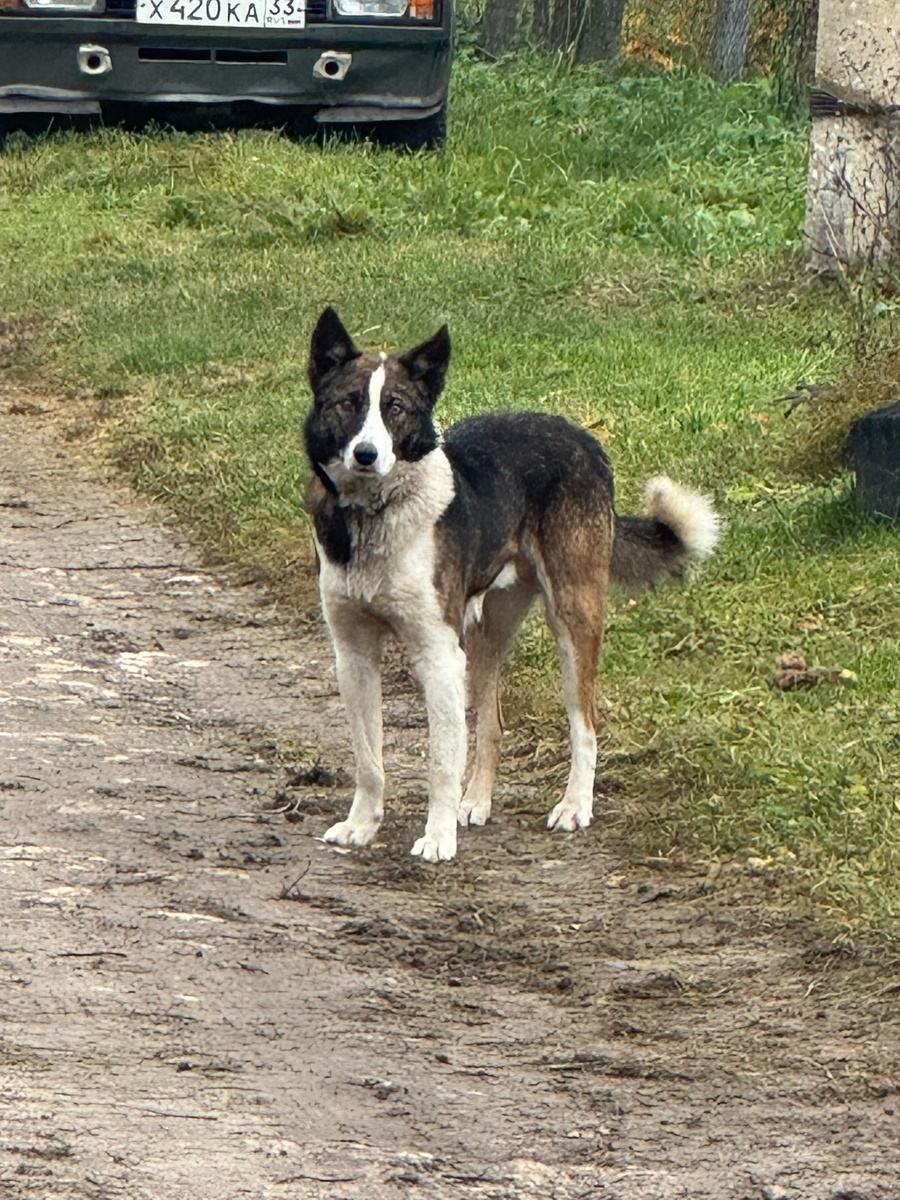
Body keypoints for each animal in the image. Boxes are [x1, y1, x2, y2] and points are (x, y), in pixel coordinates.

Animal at [304, 307, 720, 862]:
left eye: (394, 407)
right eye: (349, 403)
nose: (366, 454)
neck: (374, 516)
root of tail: (583, 437)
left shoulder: (438, 653)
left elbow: (440, 761)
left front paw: (437, 838)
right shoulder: (354, 655)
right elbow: (368, 757)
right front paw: (362, 825)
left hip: (572, 617)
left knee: (585, 723)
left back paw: (574, 806)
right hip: (485, 634)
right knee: (491, 726)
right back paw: (475, 801)